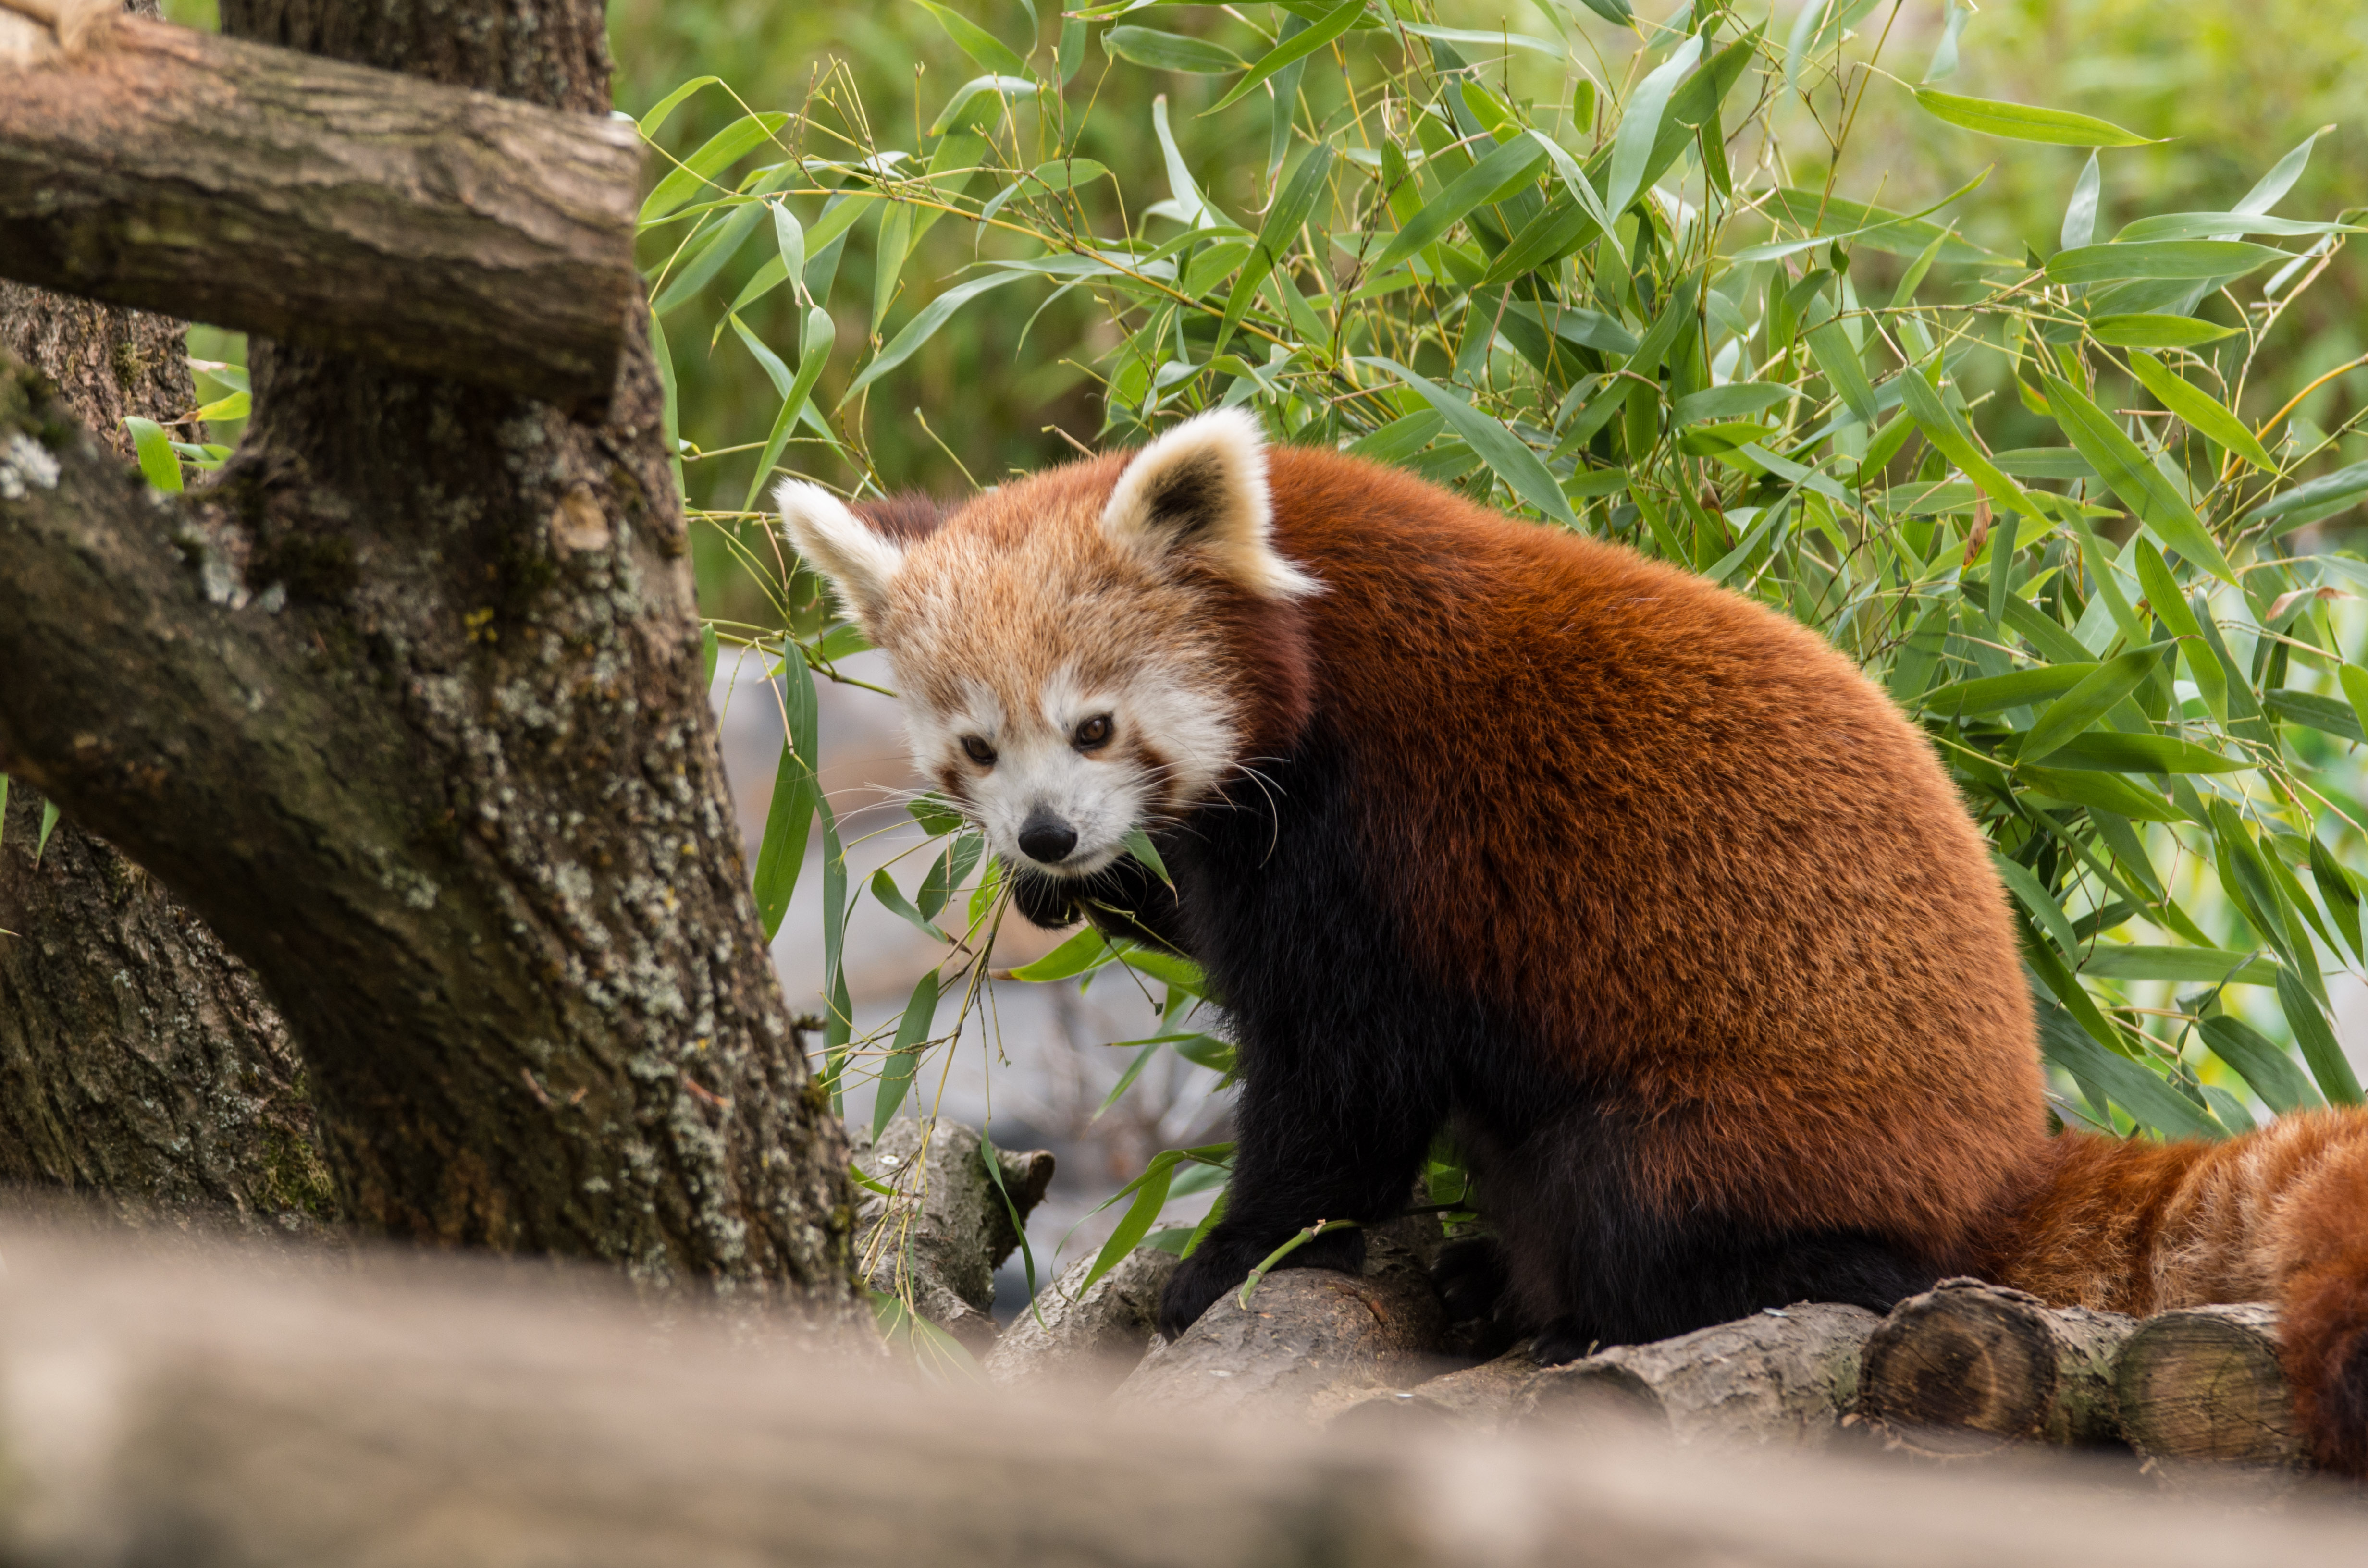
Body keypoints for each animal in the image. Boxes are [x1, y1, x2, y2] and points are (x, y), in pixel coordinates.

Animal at [786, 405, 2368, 1478]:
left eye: (1096, 725)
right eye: (978, 750)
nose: (1048, 836)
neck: (1306, 621)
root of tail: (2003, 1151)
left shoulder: (1379, 834)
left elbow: (1345, 1080)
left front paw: (1230, 1257)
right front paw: (1107, 892)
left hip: (1743, 1124)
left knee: (1655, 1201)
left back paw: (1643, 1303)